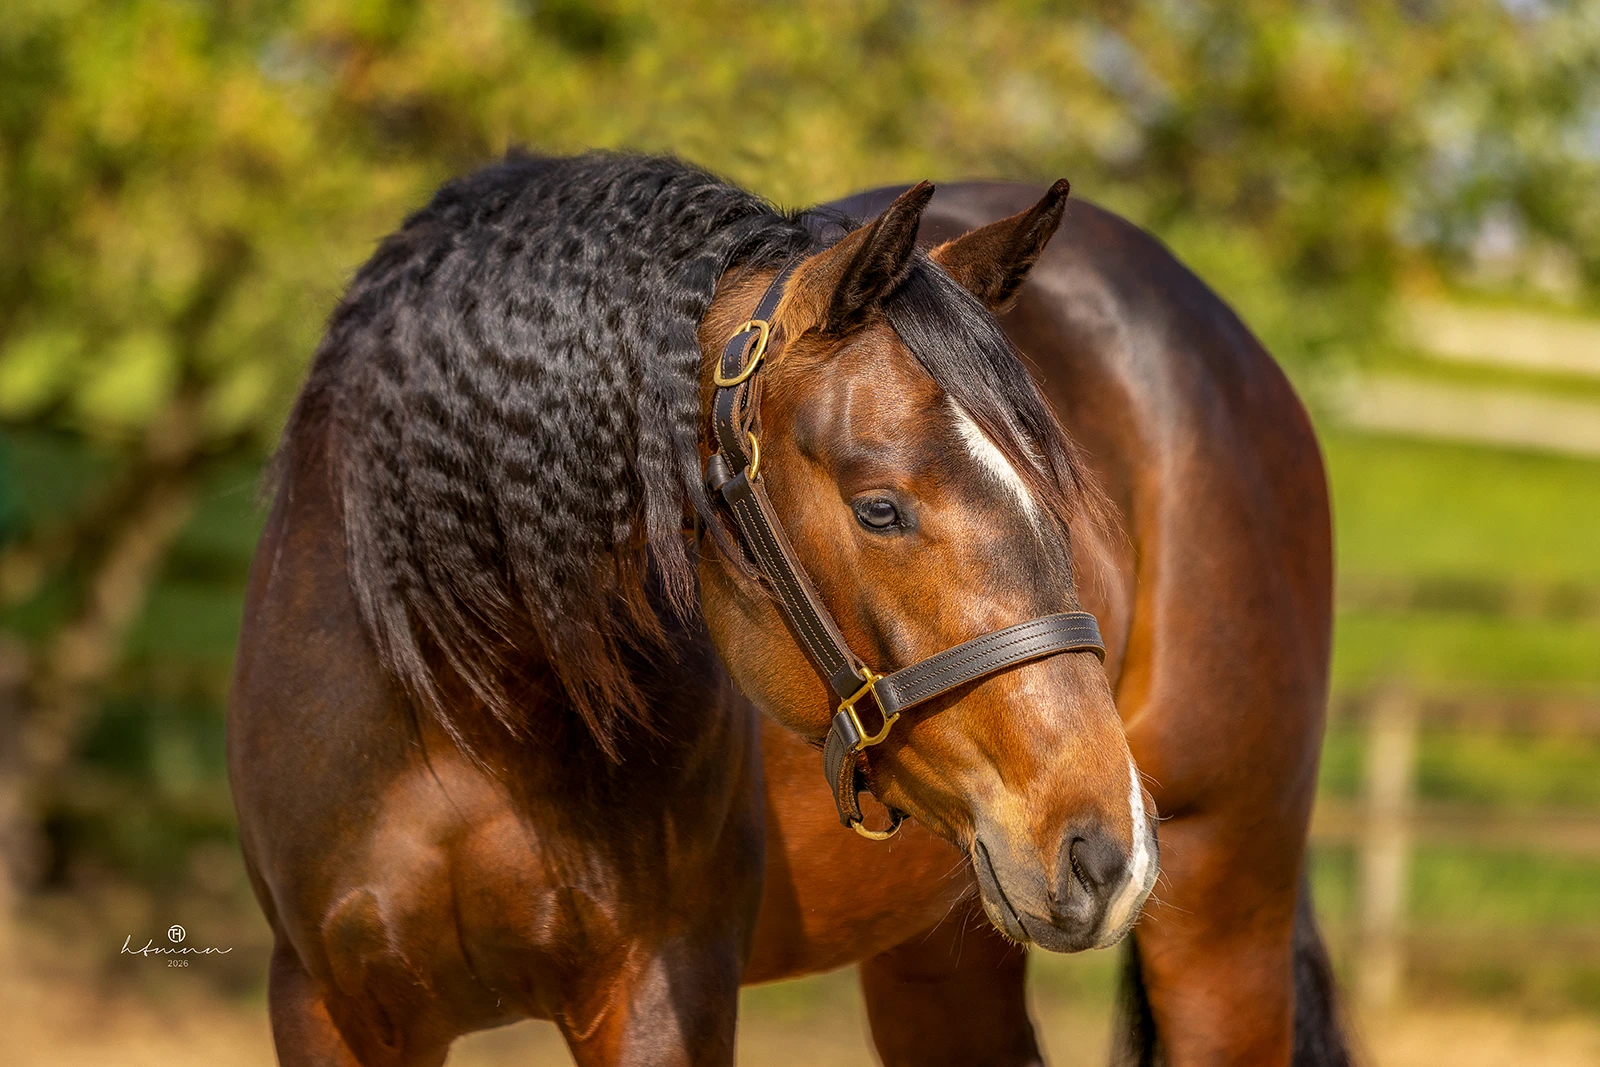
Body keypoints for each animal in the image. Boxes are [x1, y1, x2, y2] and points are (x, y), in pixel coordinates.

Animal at [228, 152, 1346, 1066]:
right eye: (880, 507)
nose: (1104, 850)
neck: (462, 703)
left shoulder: (659, 989)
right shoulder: (328, 1007)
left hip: (1224, 904)